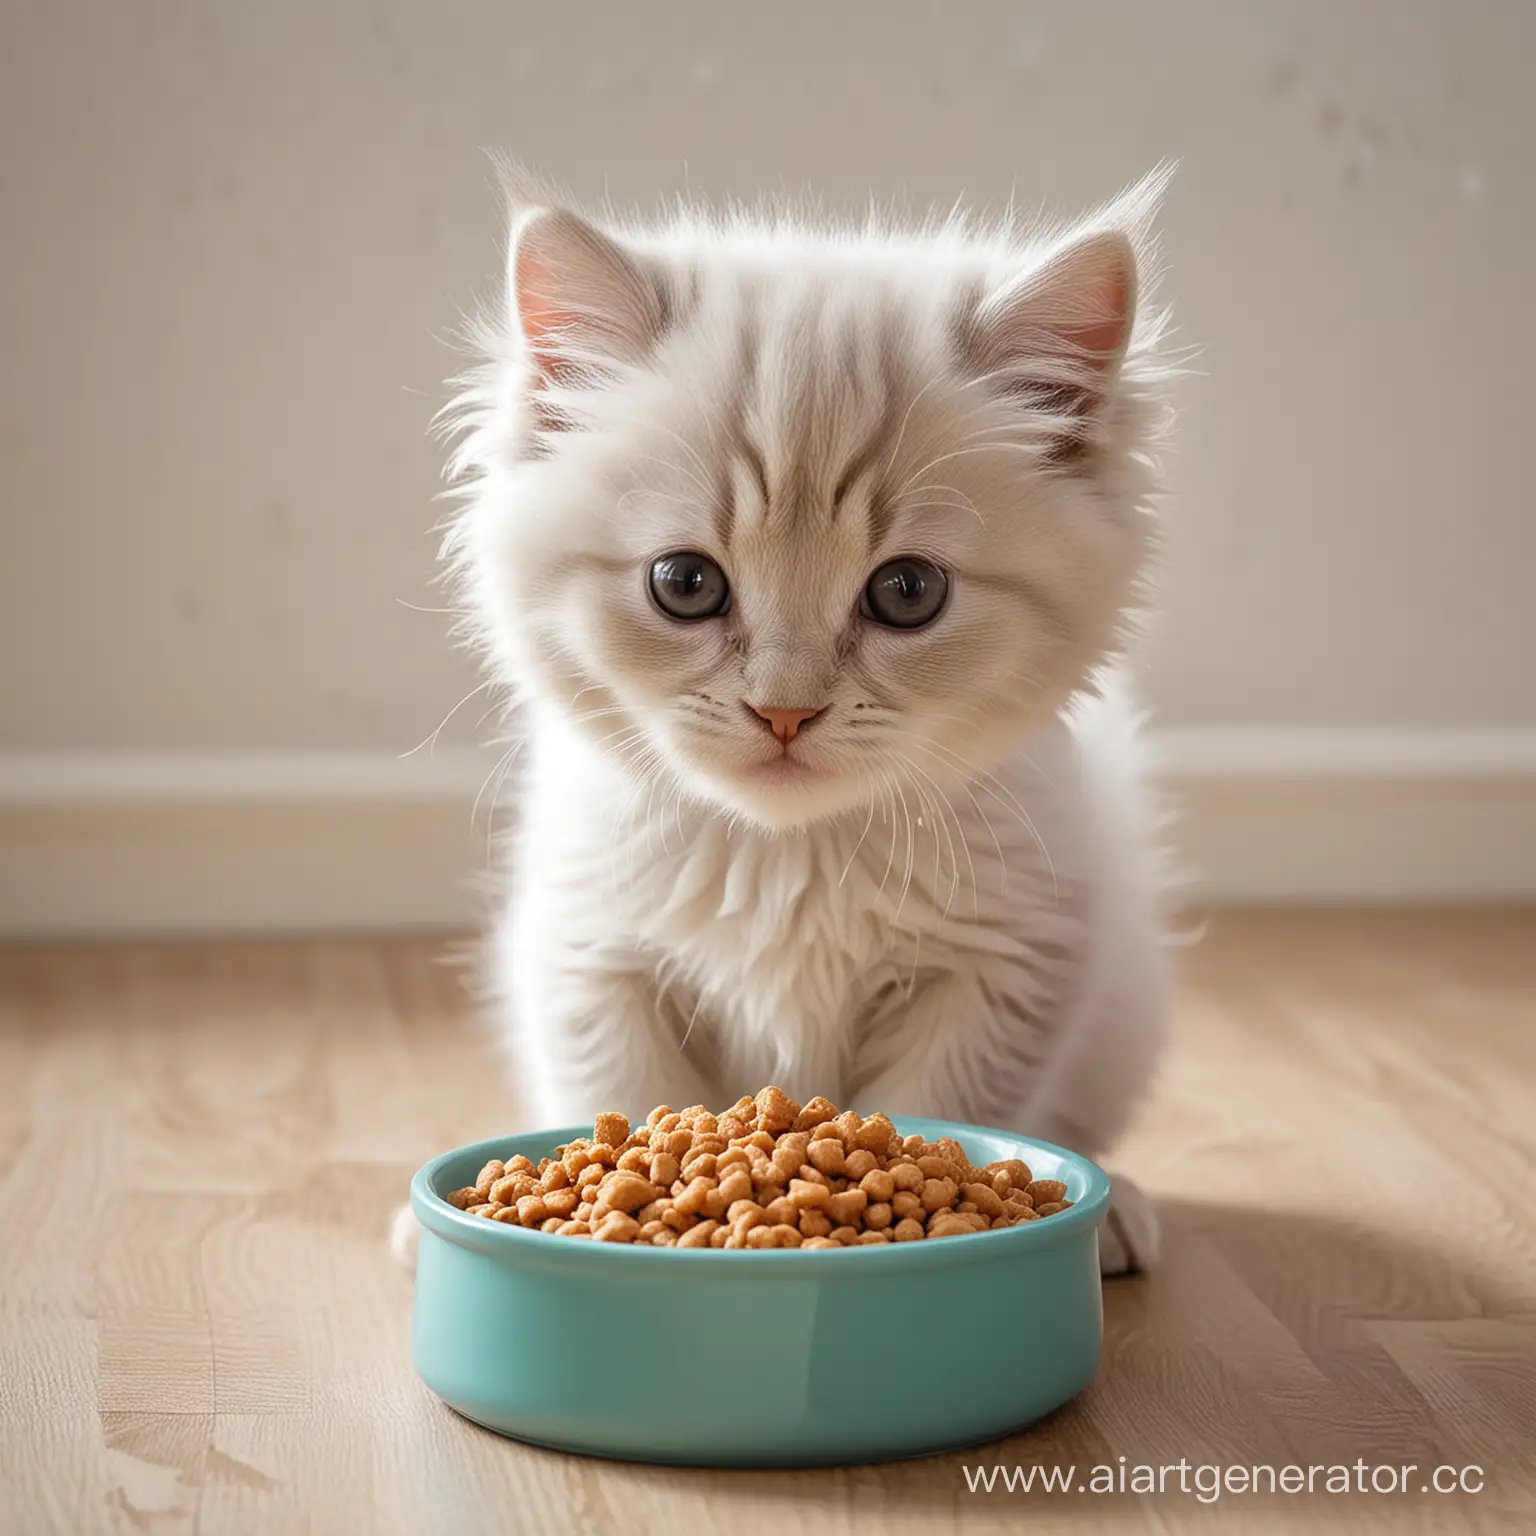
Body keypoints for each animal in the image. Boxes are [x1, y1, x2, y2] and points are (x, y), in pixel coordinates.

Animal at [405, 165, 1173, 1271]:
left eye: (907, 592)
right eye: (684, 584)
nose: (785, 711)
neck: (788, 858)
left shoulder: (1002, 970)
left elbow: (936, 1117)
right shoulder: (591, 959)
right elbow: (629, 1099)